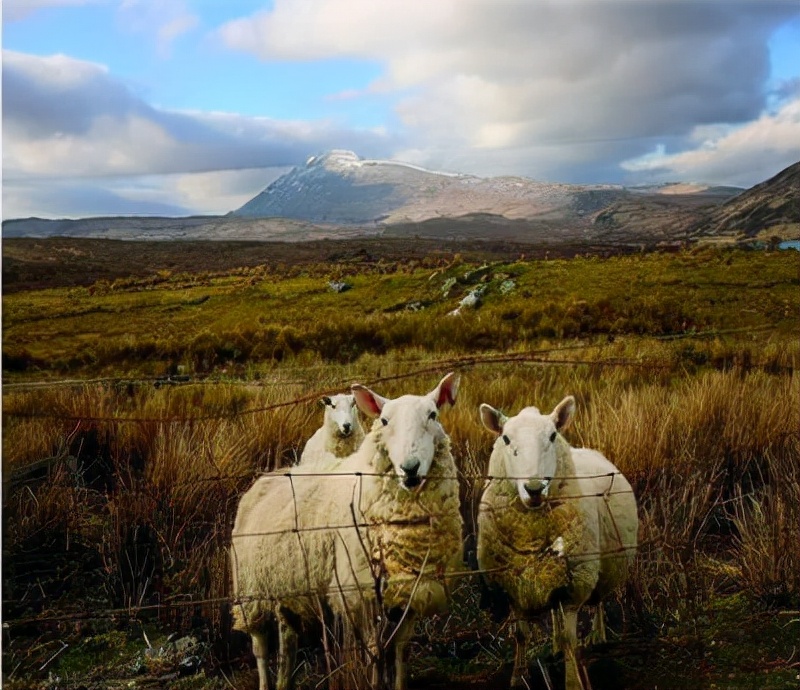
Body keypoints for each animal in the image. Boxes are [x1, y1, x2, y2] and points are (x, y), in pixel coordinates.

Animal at [231, 370, 462, 688]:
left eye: (433, 414)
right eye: (384, 421)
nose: (410, 467)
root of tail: (267, 477)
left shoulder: (412, 588)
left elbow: (401, 649)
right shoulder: (361, 591)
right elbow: (375, 650)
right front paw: (376, 681)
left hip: (286, 585)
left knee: (288, 639)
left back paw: (284, 681)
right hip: (250, 590)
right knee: (261, 647)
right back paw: (266, 680)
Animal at [476, 396, 636, 688]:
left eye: (552, 436)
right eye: (505, 438)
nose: (534, 488)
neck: (531, 533)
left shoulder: (574, 586)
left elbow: (571, 639)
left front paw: (573, 681)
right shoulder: (512, 586)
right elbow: (521, 635)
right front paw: (518, 677)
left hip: (601, 569)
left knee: (598, 602)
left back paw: (597, 636)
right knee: (554, 614)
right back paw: (554, 647)